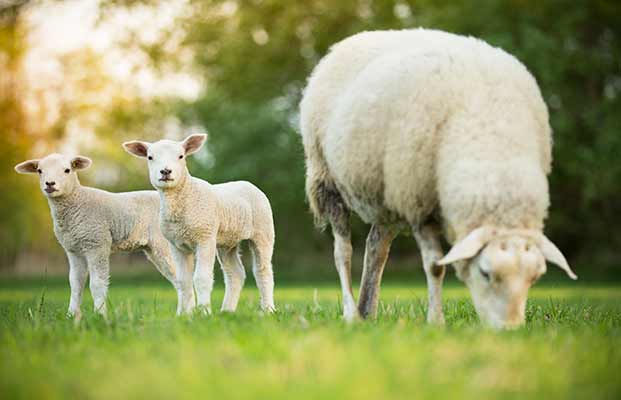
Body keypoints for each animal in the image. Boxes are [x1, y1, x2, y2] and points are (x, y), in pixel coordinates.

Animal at [14, 153, 179, 318]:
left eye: (67, 170)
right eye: (39, 171)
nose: (50, 184)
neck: (77, 201)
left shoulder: (97, 244)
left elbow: (97, 284)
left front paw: (100, 314)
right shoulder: (73, 250)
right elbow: (75, 283)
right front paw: (72, 315)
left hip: (164, 244)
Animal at [122, 134, 274, 316]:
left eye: (181, 156)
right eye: (150, 157)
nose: (165, 171)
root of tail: (247, 183)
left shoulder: (205, 238)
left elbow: (201, 278)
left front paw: (204, 313)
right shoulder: (176, 244)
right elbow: (183, 281)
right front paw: (184, 315)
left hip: (263, 230)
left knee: (263, 271)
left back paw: (268, 310)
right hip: (227, 241)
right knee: (235, 273)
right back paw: (227, 311)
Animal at [300, 28, 576, 328]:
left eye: (535, 277)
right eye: (485, 273)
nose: (510, 330)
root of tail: (350, 41)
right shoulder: (419, 203)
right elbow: (434, 266)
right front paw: (436, 321)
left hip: (387, 192)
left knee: (376, 248)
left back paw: (368, 311)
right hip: (326, 178)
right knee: (343, 251)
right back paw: (352, 313)